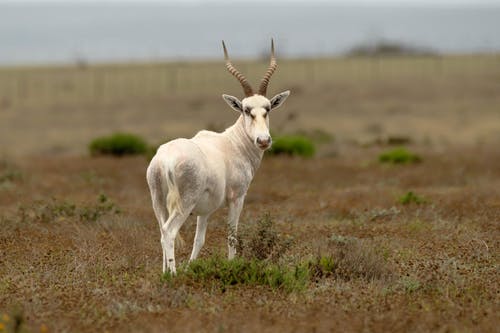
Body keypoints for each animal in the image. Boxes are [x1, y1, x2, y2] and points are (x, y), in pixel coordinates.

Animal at [146, 39, 290, 272]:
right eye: (246, 109)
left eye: (267, 108)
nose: (263, 140)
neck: (232, 144)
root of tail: (165, 159)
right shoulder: (237, 198)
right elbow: (232, 235)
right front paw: (232, 266)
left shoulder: (205, 210)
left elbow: (199, 240)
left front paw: (191, 267)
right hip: (184, 204)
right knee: (168, 232)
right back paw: (173, 275)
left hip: (158, 202)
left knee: (160, 231)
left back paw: (164, 272)